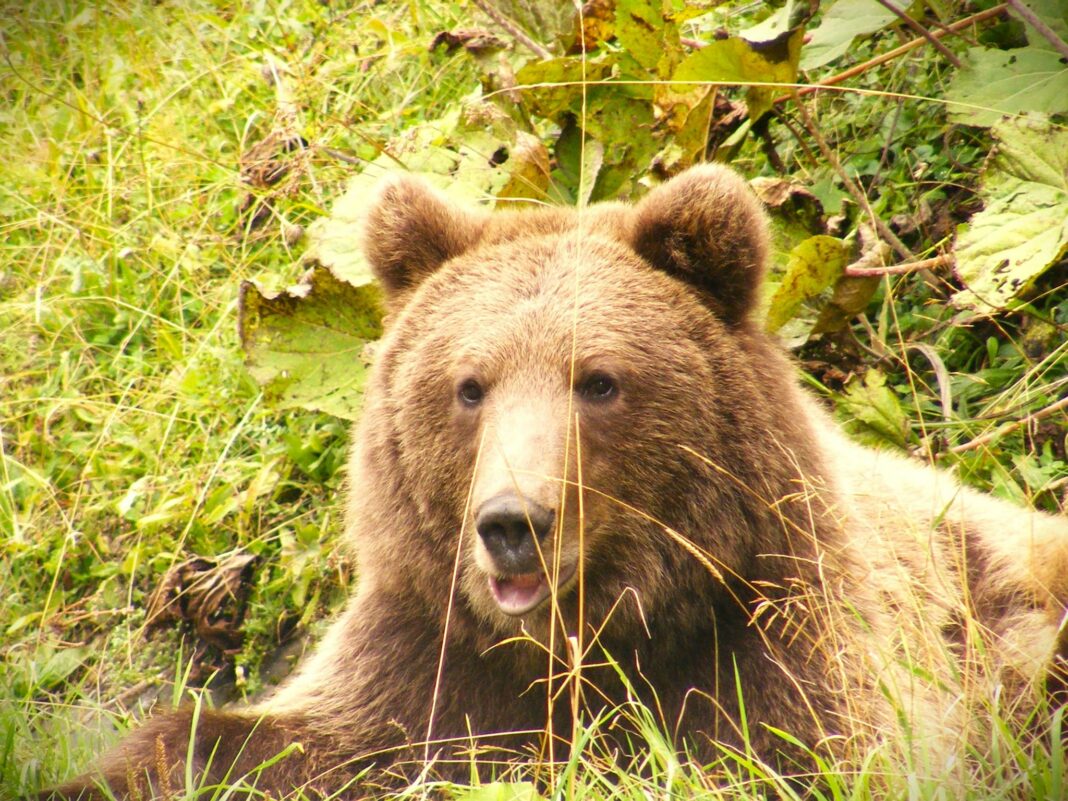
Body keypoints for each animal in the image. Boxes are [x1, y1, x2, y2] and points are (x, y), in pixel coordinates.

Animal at [48, 166, 1068, 798]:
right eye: (469, 385)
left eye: (599, 380)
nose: (512, 521)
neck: (588, 637)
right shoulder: (433, 659)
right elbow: (244, 742)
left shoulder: (787, 648)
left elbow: (788, 753)